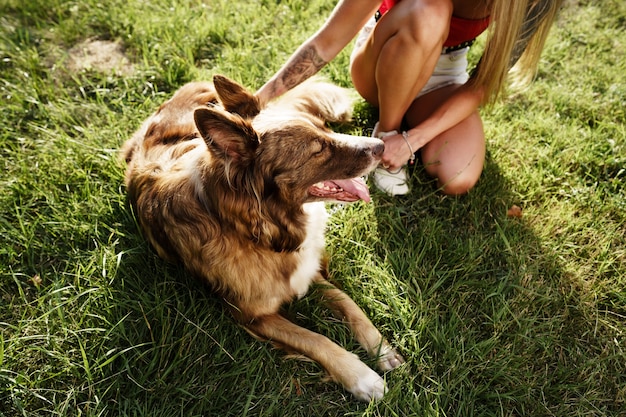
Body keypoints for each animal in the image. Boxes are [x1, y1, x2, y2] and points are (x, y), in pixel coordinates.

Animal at [121, 75, 402, 400]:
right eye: (318, 149)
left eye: (325, 127)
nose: (381, 145)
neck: (256, 233)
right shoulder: (253, 316)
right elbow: (315, 338)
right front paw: (362, 376)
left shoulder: (306, 272)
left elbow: (349, 304)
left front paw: (381, 349)